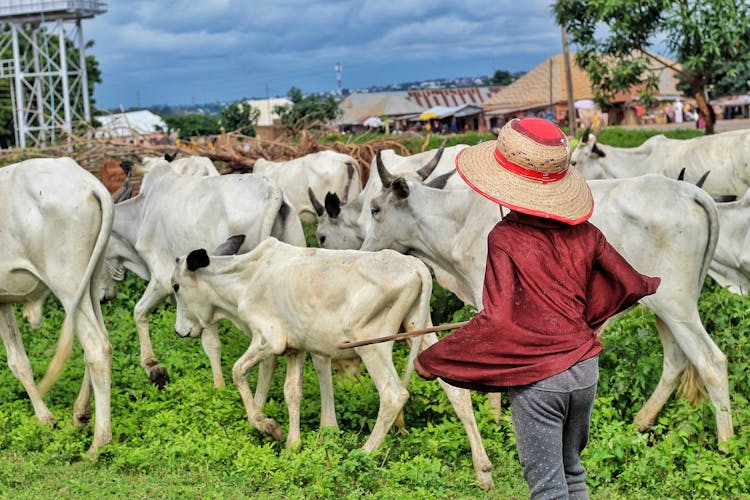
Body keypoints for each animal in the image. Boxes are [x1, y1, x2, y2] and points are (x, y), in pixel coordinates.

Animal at [0, 158, 114, 456]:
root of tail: (90, 183)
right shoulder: (2, 302)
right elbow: (19, 361)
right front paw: (46, 419)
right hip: (90, 282)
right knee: (101, 341)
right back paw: (80, 414)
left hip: (67, 283)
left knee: (95, 347)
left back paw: (99, 444)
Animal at [104, 162, 306, 388]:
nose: (104, 298)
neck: (140, 215)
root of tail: (272, 192)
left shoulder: (165, 280)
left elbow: (140, 312)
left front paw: (154, 367)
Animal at [172, 238, 500, 488]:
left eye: (175, 286)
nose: (180, 331)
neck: (246, 279)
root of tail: (416, 265)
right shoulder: (295, 348)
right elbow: (292, 392)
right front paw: (292, 444)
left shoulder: (269, 339)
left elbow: (238, 371)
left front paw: (268, 426)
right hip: (419, 329)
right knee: (457, 392)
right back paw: (483, 470)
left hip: (373, 343)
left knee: (394, 395)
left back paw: (363, 455)